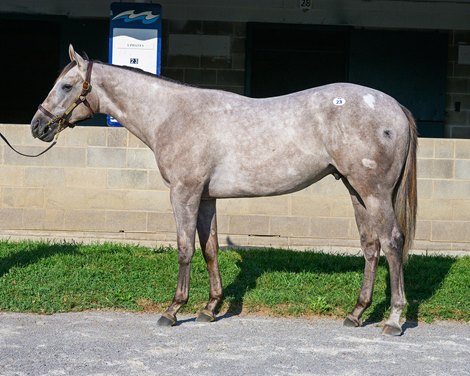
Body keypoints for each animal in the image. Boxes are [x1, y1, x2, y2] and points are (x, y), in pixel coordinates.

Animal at [31, 45, 416, 336]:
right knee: (370, 247)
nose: (38, 126)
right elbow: (210, 249)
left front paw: (173, 309)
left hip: (374, 193)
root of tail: (394, 105)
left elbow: (185, 248)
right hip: (356, 190)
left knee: (392, 242)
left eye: (66, 85)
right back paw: (356, 313)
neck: (173, 115)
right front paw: (210, 307)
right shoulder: (206, 198)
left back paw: (394, 319)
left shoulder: (183, 193)